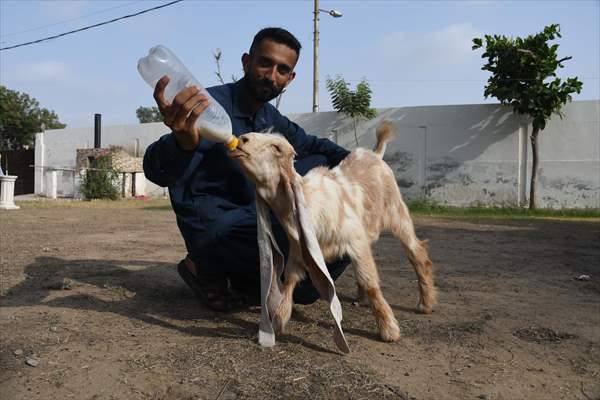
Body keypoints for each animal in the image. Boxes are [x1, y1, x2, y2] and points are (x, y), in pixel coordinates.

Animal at [230, 122, 436, 340]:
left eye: (277, 147)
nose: (242, 139)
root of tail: (375, 154)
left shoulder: (355, 240)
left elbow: (370, 281)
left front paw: (389, 328)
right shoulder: (298, 250)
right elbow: (291, 278)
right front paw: (279, 318)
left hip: (397, 212)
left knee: (416, 251)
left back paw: (425, 302)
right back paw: (362, 298)